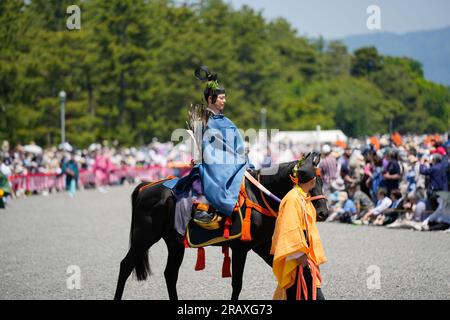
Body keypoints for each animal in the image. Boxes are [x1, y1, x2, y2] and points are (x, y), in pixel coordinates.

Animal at [114, 152, 328, 300]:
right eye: (309, 181)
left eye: (322, 180)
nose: (324, 212)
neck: (258, 196)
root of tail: (146, 187)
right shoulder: (241, 248)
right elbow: (237, 284)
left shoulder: (263, 246)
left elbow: (298, 274)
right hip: (145, 237)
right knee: (126, 265)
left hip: (174, 242)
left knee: (170, 274)